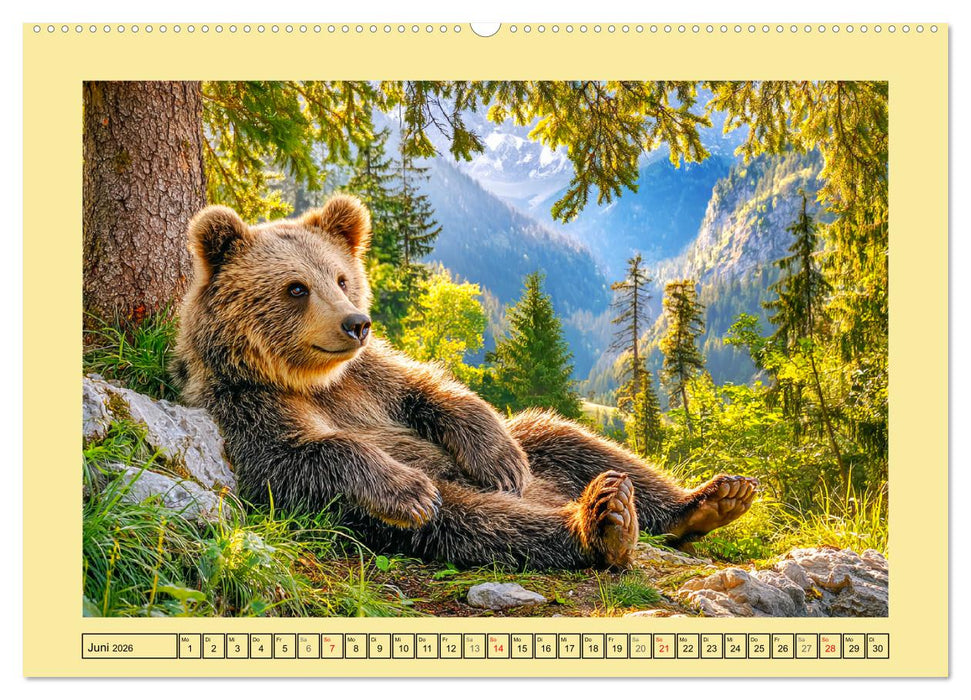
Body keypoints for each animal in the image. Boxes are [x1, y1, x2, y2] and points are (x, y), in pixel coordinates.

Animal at [172, 194, 758, 570]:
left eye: (341, 278)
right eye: (296, 288)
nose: (356, 323)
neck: (314, 381)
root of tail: (551, 494)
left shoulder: (373, 380)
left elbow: (432, 390)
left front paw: (497, 460)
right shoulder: (247, 409)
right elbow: (305, 454)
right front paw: (403, 486)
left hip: (547, 454)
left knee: (569, 439)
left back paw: (710, 499)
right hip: (417, 512)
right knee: (471, 520)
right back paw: (600, 523)